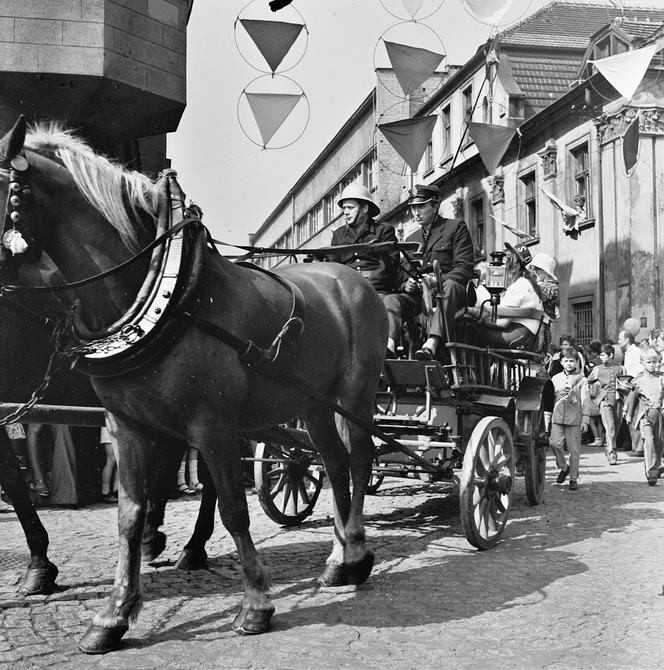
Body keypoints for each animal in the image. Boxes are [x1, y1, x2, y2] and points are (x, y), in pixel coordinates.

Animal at [0, 117, 386, 656]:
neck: (165, 294)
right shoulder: (129, 427)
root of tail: (348, 275)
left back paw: (357, 553)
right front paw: (113, 615)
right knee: (332, 463)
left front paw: (255, 603)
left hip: (355, 393)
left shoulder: (211, 424)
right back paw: (338, 558)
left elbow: (233, 509)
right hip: (311, 403)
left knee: (360, 459)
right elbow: (130, 515)